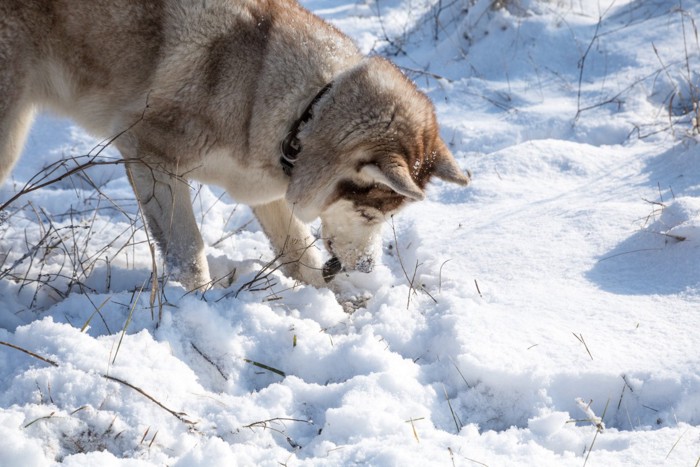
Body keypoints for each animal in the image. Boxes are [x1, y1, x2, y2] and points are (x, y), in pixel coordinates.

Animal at [1, 0, 470, 290]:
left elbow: (298, 251)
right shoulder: (150, 158)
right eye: (371, 214)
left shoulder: (266, 188)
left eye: (386, 217)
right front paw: (193, 306)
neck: (301, 108)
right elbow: (189, 253)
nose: (371, 269)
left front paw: (331, 309)